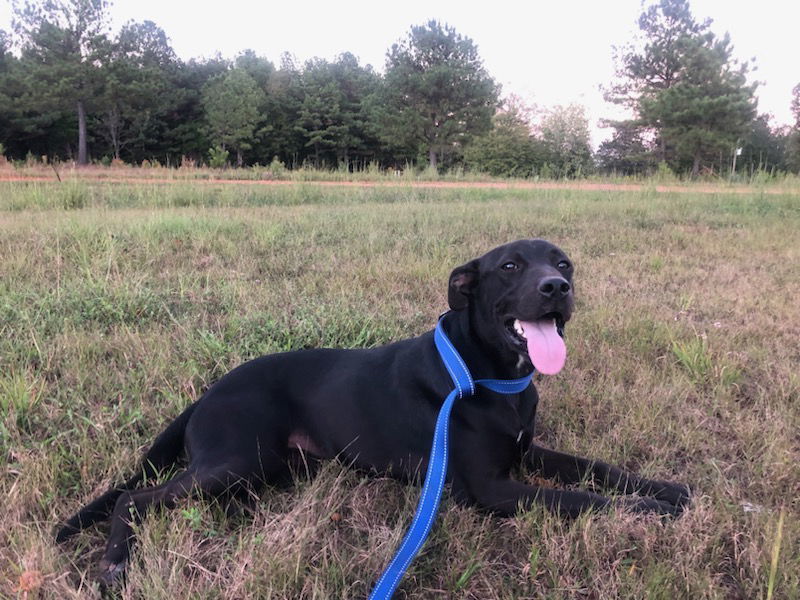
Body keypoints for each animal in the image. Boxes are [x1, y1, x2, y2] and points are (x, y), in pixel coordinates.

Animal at [57, 239, 688, 584]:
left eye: (565, 263)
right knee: (136, 499)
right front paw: (651, 511)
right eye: (510, 267)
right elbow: (582, 500)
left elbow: (597, 470)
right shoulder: (490, 488)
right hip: (237, 458)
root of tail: (208, 392)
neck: (485, 373)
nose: (557, 287)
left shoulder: (525, 453)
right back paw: (114, 567)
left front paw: (667, 489)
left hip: (274, 467)